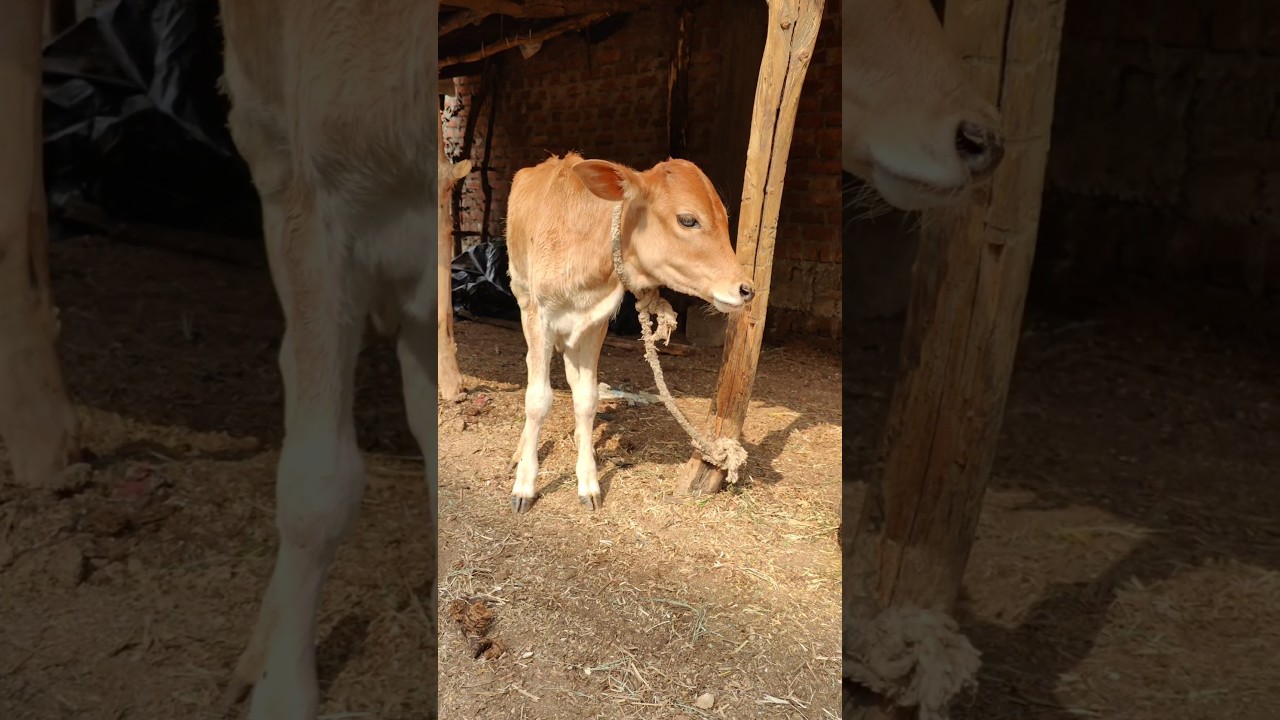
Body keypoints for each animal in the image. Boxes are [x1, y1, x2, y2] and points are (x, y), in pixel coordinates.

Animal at [504, 153, 754, 513]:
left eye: (724, 217)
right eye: (688, 220)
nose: (746, 289)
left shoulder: (595, 322)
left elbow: (587, 398)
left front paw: (588, 480)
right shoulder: (539, 315)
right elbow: (537, 400)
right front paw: (525, 484)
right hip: (522, 296)